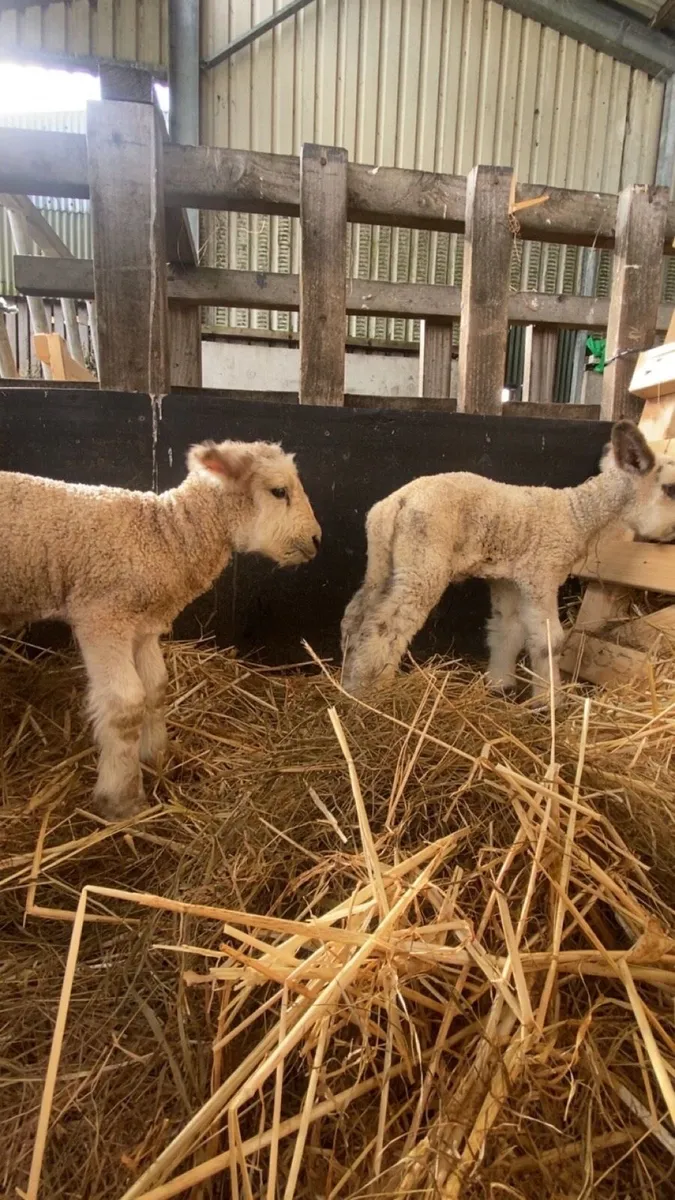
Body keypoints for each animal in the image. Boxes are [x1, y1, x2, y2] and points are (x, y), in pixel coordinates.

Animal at [0, 440, 321, 820]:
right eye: (279, 491)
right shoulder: (102, 617)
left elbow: (156, 687)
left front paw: (156, 758)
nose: (317, 539)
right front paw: (122, 800)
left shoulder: (143, 625)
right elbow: (126, 704)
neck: (164, 538)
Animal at [341, 420, 675, 706]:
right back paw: (370, 691)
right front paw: (549, 701)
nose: (672, 534)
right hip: (422, 562)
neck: (577, 515)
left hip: (382, 560)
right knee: (388, 623)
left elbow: (507, 629)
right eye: (671, 489)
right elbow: (549, 641)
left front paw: (500, 684)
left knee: (357, 615)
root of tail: (396, 502)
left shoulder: (509, 578)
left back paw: (347, 680)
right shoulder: (541, 574)